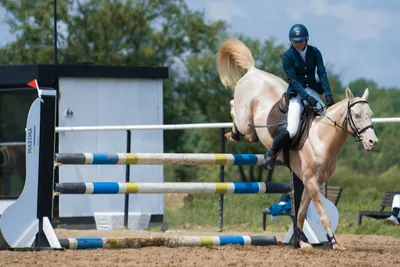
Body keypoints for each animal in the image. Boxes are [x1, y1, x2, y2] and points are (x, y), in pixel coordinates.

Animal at [219, 38, 378, 250]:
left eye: (370, 115)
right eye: (358, 115)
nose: (372, 142)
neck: (322, 138)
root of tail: (253, 71)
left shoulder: (312, 182)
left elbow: (301, 212)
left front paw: (301, 242)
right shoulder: (311, 181)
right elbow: (323, 215)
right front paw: (334, 243)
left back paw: (251, 136)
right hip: (244, 117)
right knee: (232, 107)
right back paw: (234, 134)